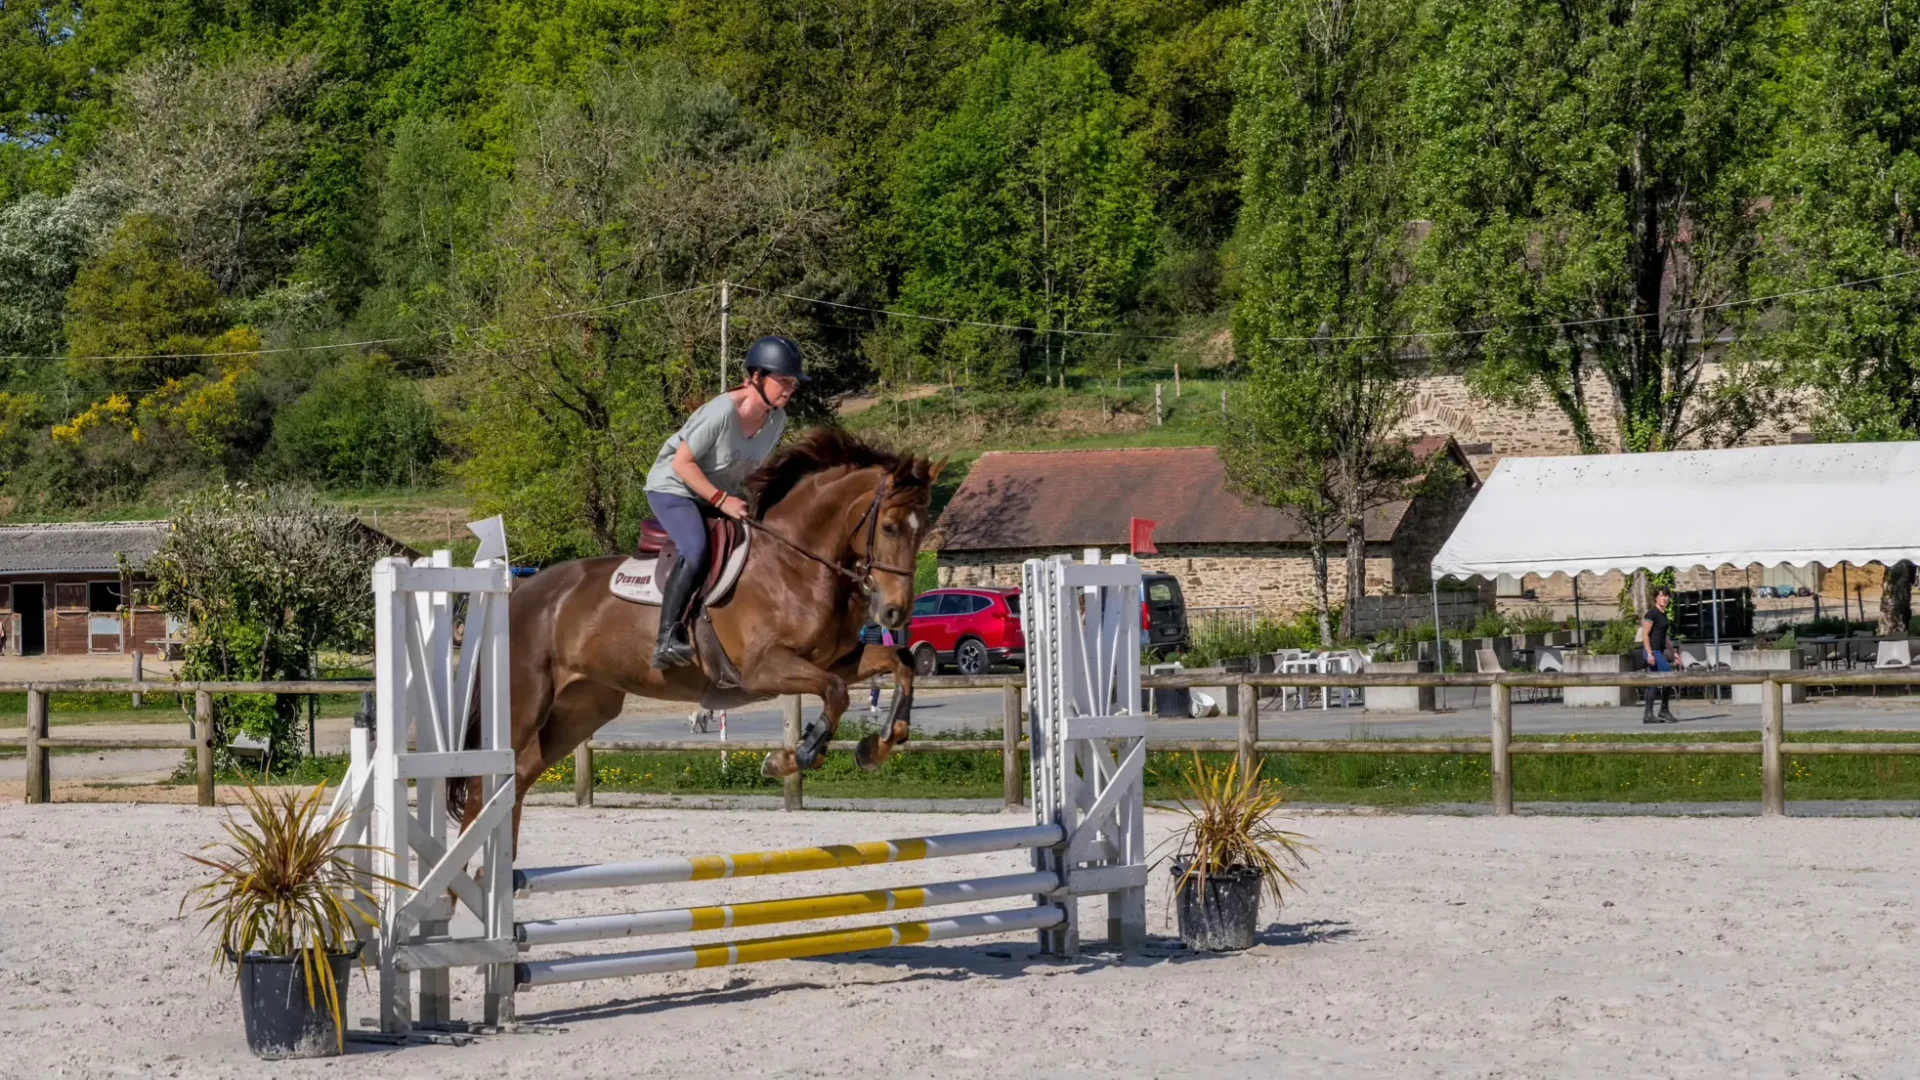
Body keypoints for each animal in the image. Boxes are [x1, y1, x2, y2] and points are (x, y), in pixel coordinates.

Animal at [456, 428, 936, 841]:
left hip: (580, 710)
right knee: (483, 787)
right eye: (890, 527)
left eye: (924, 530)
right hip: (524, 704)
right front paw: (791, 757)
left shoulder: (835, 659)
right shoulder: (763, 669)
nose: (894, 611)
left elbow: (901, 664)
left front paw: (881, 743)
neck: (796, 563)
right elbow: (836, 692)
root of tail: (519, 592)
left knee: (517, 782)